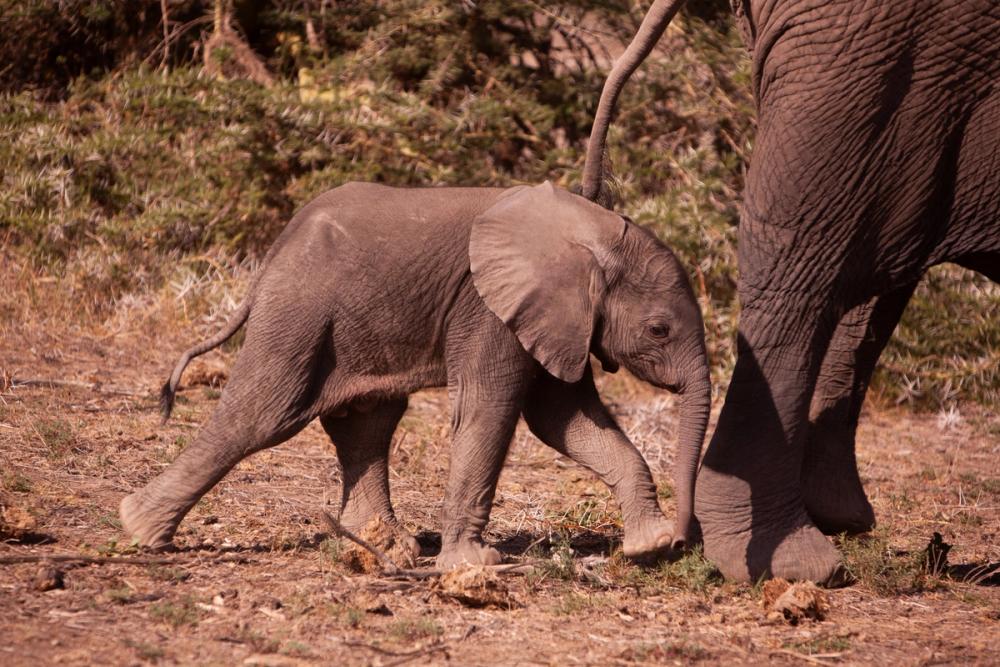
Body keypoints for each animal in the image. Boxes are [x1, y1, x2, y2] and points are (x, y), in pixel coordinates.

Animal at [119, 181, 712, 568]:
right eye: (659, 330)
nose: (689, 543)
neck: (586, 227)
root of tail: (274, 254)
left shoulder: (555, 318)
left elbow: (563, 418)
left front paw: (650, 545)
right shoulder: (489, 308)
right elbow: (492, 411)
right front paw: (474, 564)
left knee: (366, 421)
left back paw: (387, 547)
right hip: (300, 310)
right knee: (262, 412)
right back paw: (140, 530)